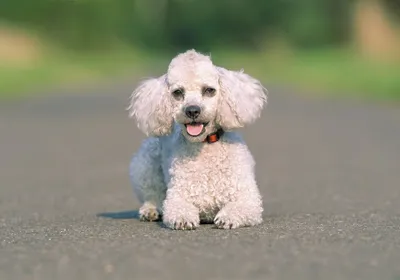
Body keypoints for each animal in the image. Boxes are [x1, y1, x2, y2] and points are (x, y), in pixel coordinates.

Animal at [126, 49, 268, 230]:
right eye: (178, 92)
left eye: (209, 90)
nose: (192, 110)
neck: (204, 144)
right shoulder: (177, 197)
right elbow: (177, 208)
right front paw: (183, 219)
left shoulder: (247, 198)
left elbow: (239, 207)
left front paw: (227, 217)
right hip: (146, 164)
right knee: (152, 194)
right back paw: (150, 209)